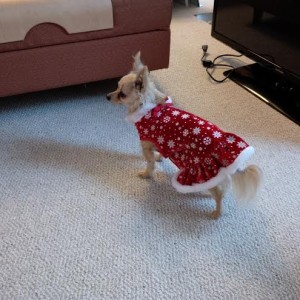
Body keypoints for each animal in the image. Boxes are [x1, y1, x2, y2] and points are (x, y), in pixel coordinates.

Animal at [106, 52, 262, 218]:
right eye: (116, 87)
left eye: (122, 94)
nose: (107, 96)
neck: (150, 109)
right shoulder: (161, 142)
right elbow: (160, 152)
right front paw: (160, 157)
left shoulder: (146, 145)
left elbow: (150, 164)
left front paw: (147, 174)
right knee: (222, 188)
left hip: (201, 170)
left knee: (219, 194)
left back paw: (216, 213)